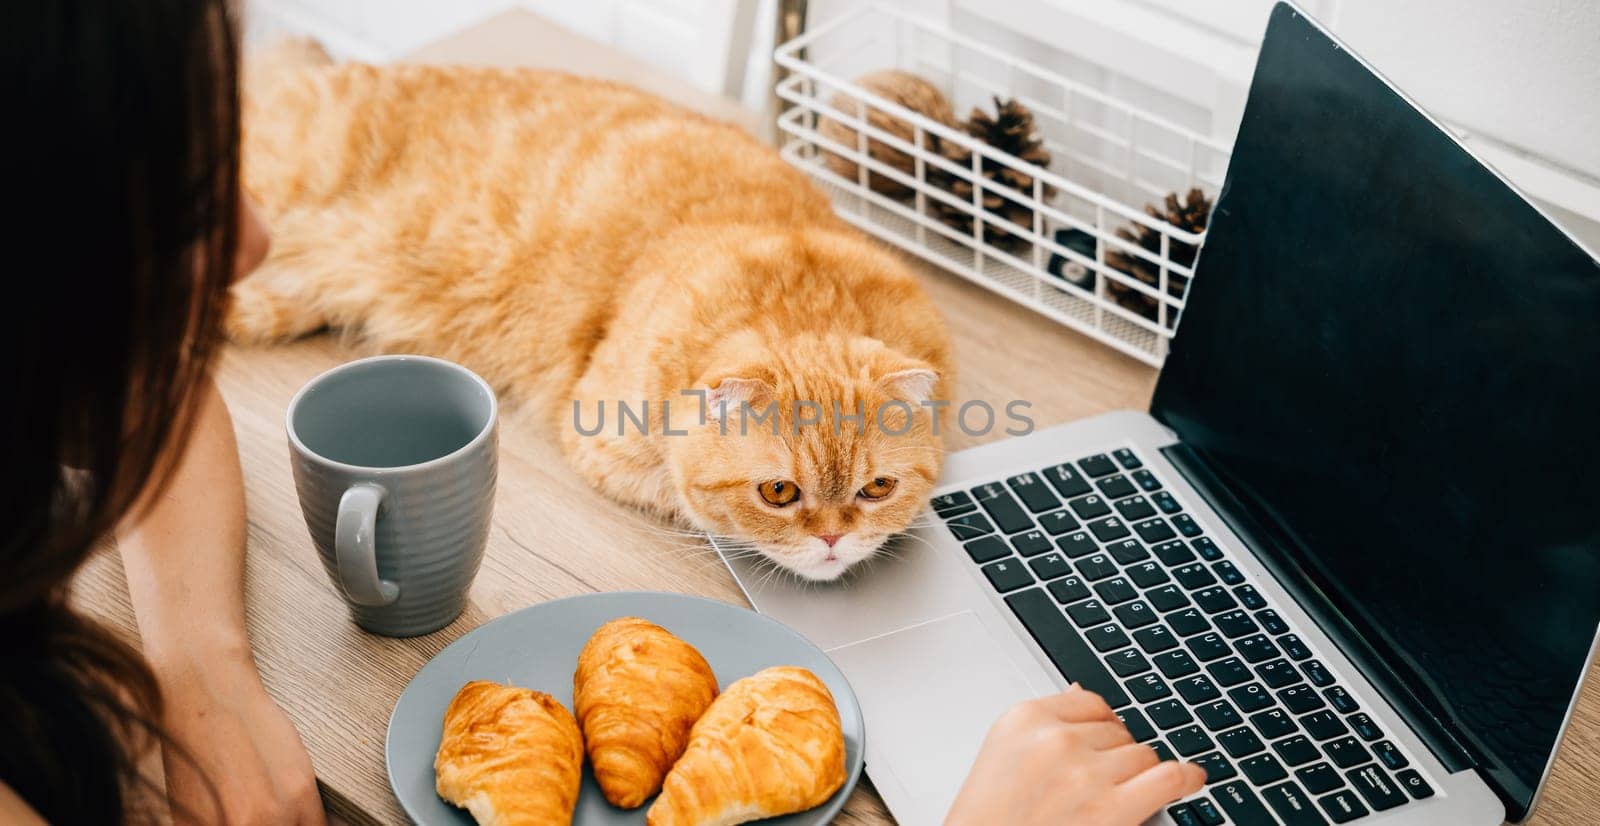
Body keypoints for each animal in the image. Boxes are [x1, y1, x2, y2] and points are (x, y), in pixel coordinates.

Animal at [228, 48, 947, 579]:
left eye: (877, 489)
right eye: (779, 494)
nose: (831, 540)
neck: (801, 290)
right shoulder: (608, 442)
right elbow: (690, 500)